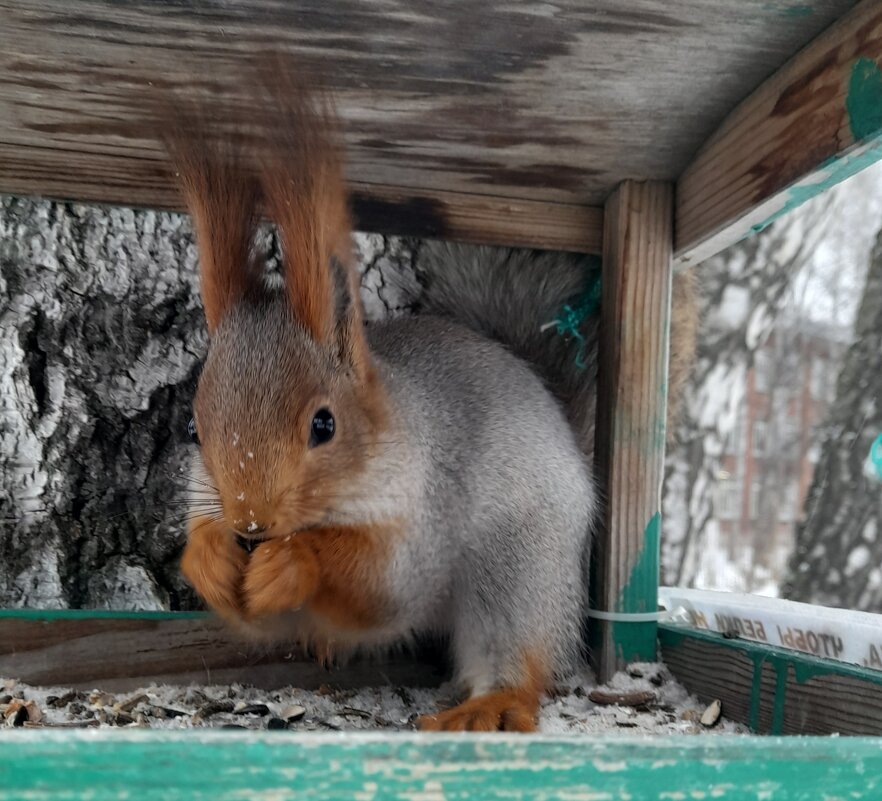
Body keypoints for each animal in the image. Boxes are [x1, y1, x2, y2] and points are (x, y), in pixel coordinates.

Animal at [160, 62, 696, 732]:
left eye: (324, 425)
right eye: (194, 429)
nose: (251, 524)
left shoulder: (423, 515)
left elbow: (381, 588)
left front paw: (294, 561)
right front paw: (209, 558)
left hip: (517, 561)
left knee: (519, 653)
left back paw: (488, 706)